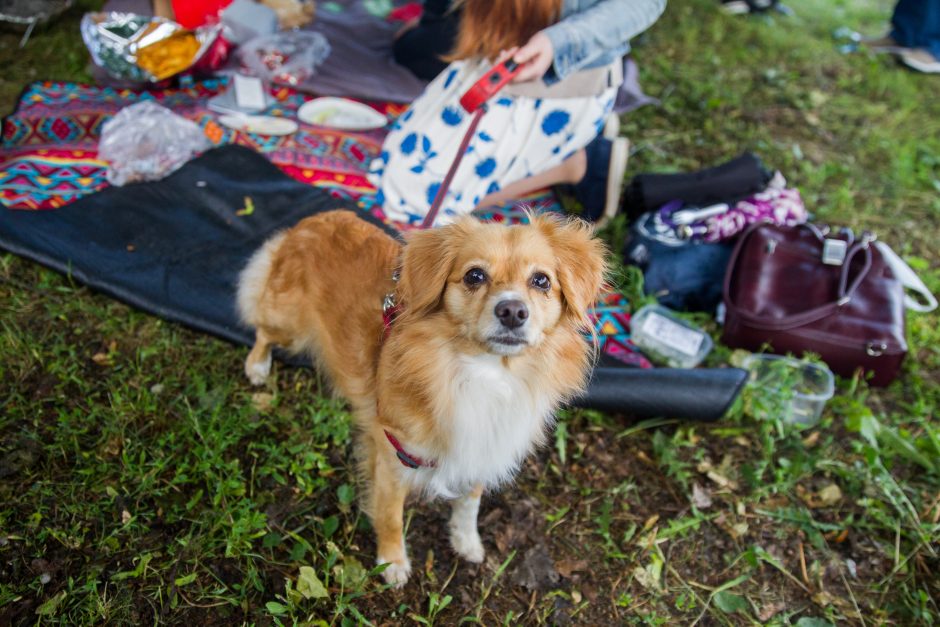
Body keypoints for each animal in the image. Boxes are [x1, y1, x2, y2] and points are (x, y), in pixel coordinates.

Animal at [234, 211, 604, 588]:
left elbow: (469, 505)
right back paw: (258, 366)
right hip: (288, 327)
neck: (486, 374)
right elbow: (390, 516)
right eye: (474, 275)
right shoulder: (395, 458)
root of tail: (315, 219)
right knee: (262, 330)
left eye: (542, 281)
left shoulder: (481, 448)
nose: (513, 311)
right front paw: (392, 562)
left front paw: (465, 541)